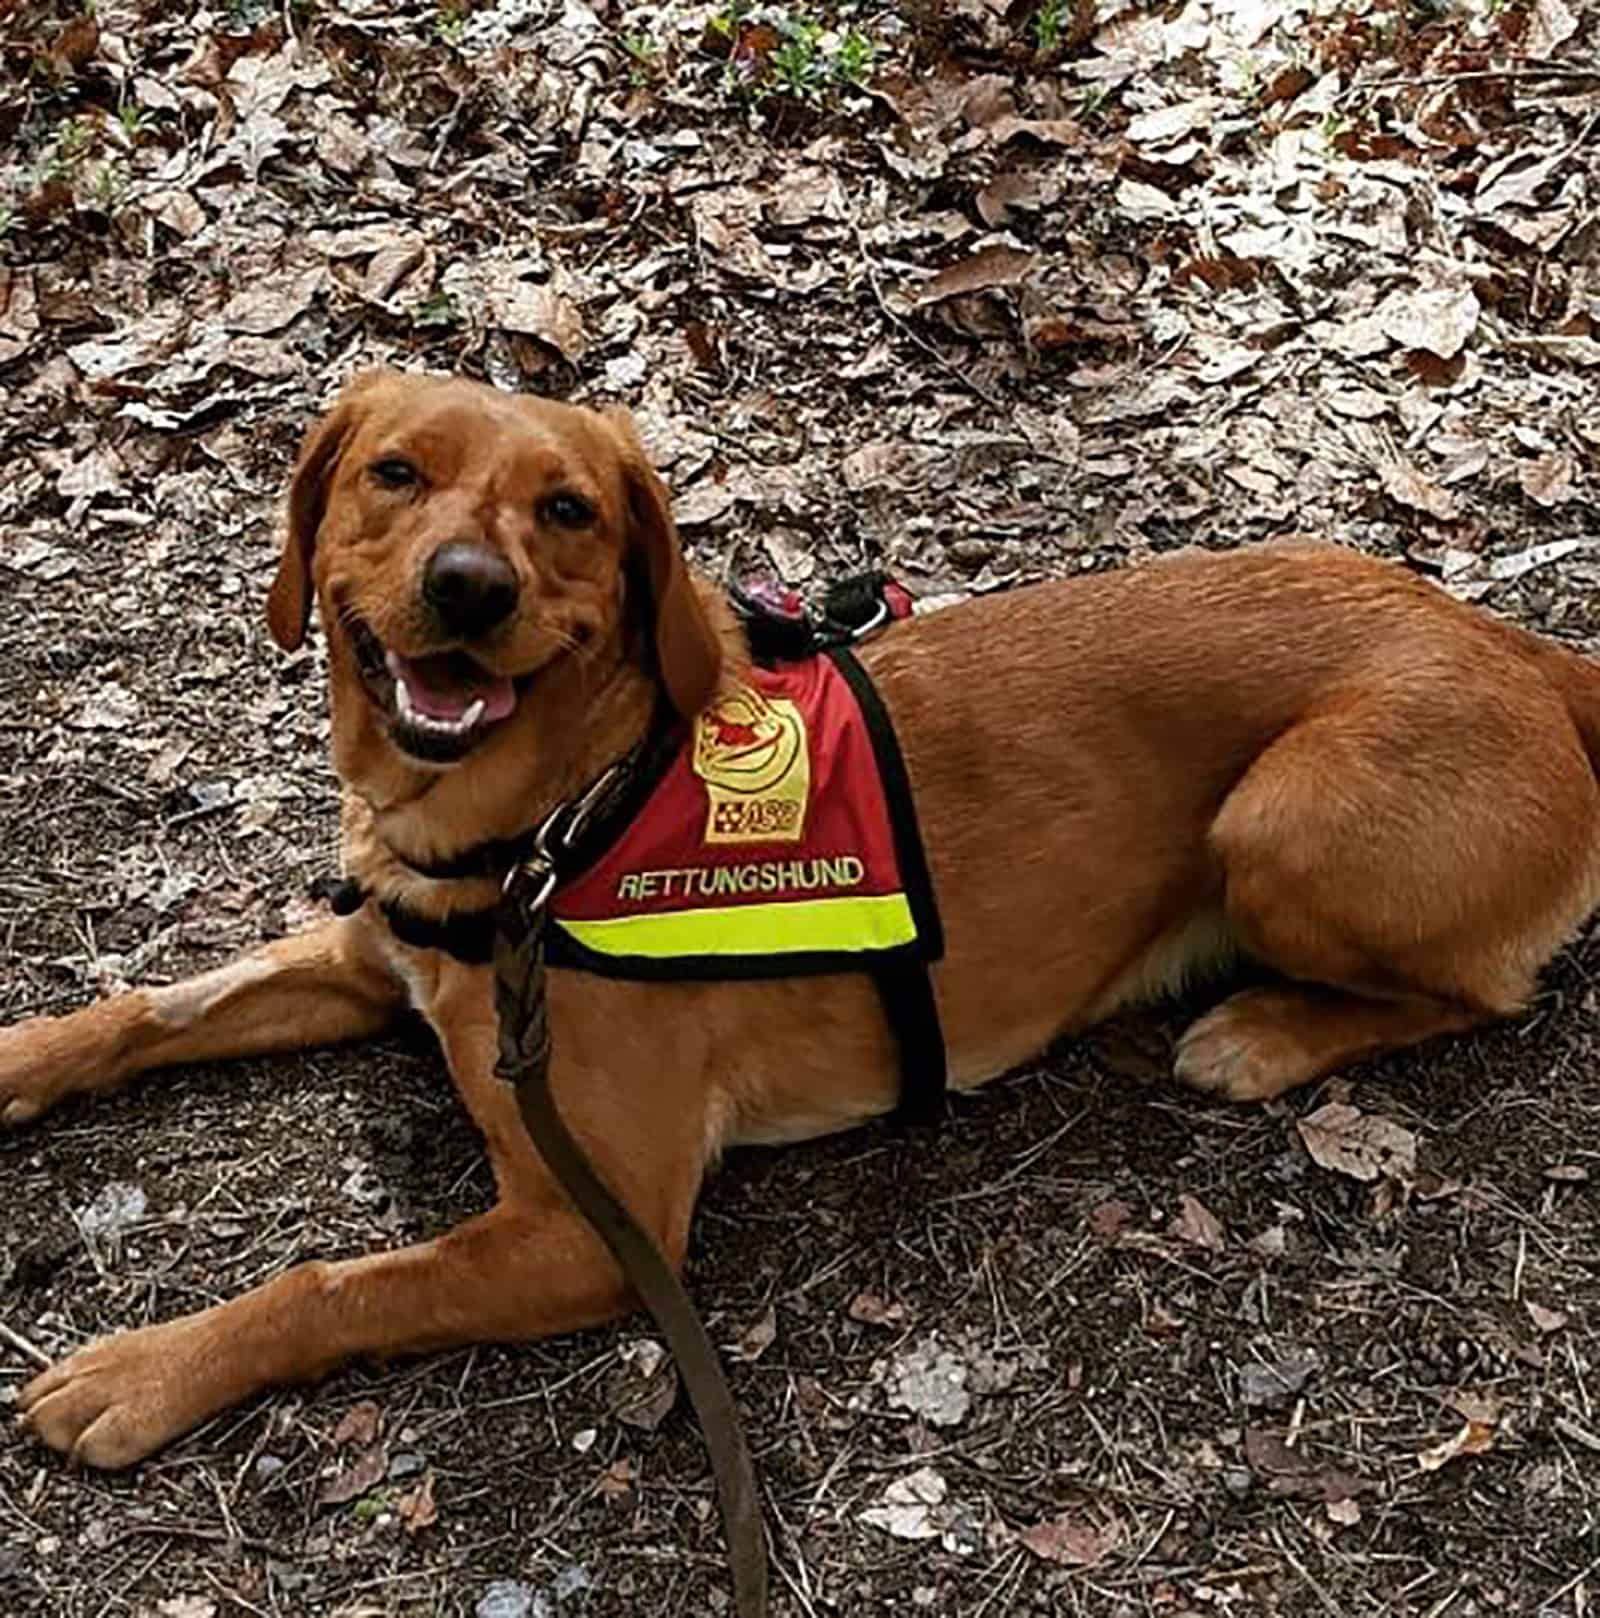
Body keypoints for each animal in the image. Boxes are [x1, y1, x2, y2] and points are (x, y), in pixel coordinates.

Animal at [3, 364, 1598, 1469]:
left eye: (568, 510)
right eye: (395, 474)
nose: (468, 587)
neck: (553, 825)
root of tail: (1509, 639)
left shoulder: (590, 1229)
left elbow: (328, 1283)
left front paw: (144, 1370)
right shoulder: (364, 952)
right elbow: (158, 1002)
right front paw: (24, 1053)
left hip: (1281, 822)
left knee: (1485, 995)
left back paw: (1266, 1033)